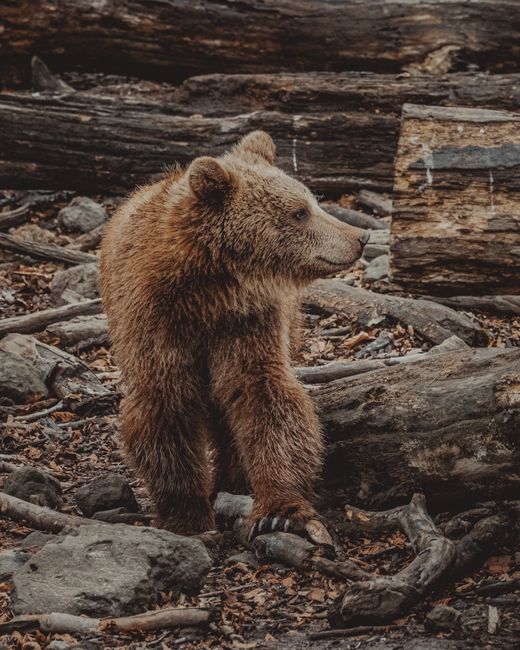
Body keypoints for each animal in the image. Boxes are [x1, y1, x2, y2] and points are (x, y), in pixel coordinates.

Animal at [100, 131, 368, 537]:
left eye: (312, 201)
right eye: (300, 212)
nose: (360, 236)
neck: (207, 289)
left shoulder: (247, 320)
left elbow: (262, 393)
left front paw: (278, 510)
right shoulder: (157, 320)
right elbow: (165, 404)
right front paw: (185, 514)